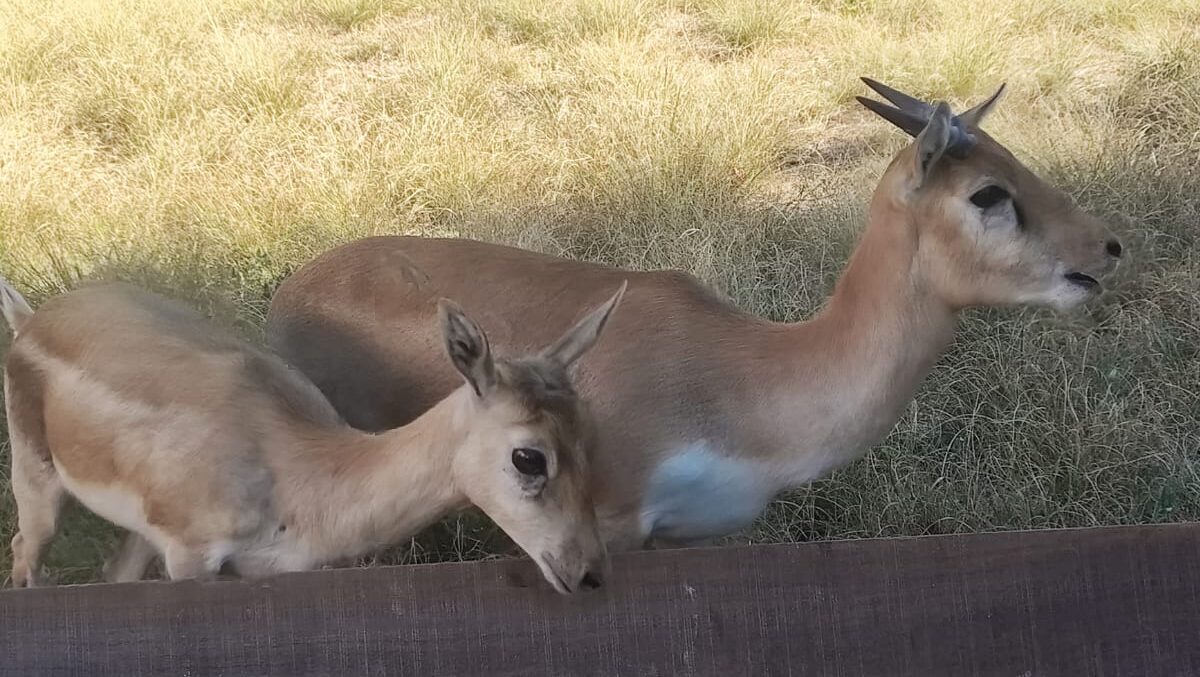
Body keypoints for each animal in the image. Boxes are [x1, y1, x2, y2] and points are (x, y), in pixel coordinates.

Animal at [1, 278, 624, 593]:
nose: (590, 572)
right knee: (23, 551)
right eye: (528, 457)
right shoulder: (190, 557)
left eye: (590, 435)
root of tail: (32, 319)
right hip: (37, 481)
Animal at [266, 79, 1124, 552]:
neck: (745, 375)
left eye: (1014, 159)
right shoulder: (615, 523)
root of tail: (286, 294)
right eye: (987, 192)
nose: (1107, 247)